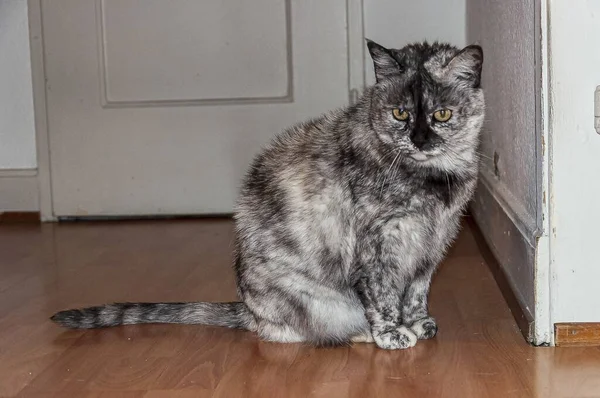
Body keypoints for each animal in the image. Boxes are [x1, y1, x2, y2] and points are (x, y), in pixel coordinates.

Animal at [50, 40, 482, 350]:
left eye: (442, 114)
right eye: (399, 114)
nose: (420, 140)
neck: (435, 179)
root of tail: (248, 311)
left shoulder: (431, 245)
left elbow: (415, 291)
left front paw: (418, 323)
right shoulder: (378, 246)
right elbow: (383, 295)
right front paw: (393, 333)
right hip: (316, 300)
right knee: (293, 333)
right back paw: (360, 334)